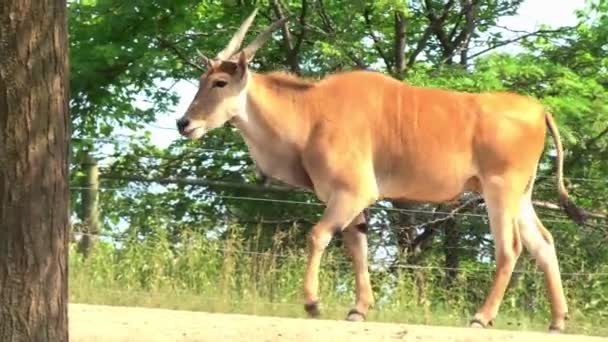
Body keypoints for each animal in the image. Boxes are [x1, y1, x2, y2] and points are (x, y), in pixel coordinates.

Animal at [175, 9, 584, 332]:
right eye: (201, 81)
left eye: (220, 82)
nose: (183, 123)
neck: (311, 112)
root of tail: (539, 110)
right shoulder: (352, 202)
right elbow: (357, 246)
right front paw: (358, 309)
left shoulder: (352, 192)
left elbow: (318, 235)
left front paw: (312, 302)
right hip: (521, 197)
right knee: (543, 243)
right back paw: (557, 320)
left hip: (500, 191)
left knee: (510, 248)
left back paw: (482, 317)